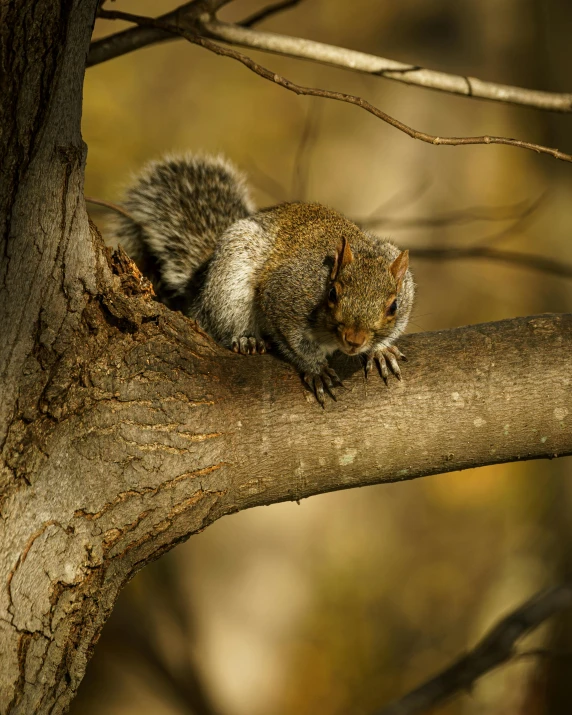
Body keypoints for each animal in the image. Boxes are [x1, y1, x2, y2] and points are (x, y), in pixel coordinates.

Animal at [110, 152, 416, 406]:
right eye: (333, 294)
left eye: (393, 307)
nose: (354, 340)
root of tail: (201, 288)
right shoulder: (285, 294)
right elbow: (294, 341)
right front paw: (315, 368)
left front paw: (381, 350)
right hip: (230, 283)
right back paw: (247, 340)